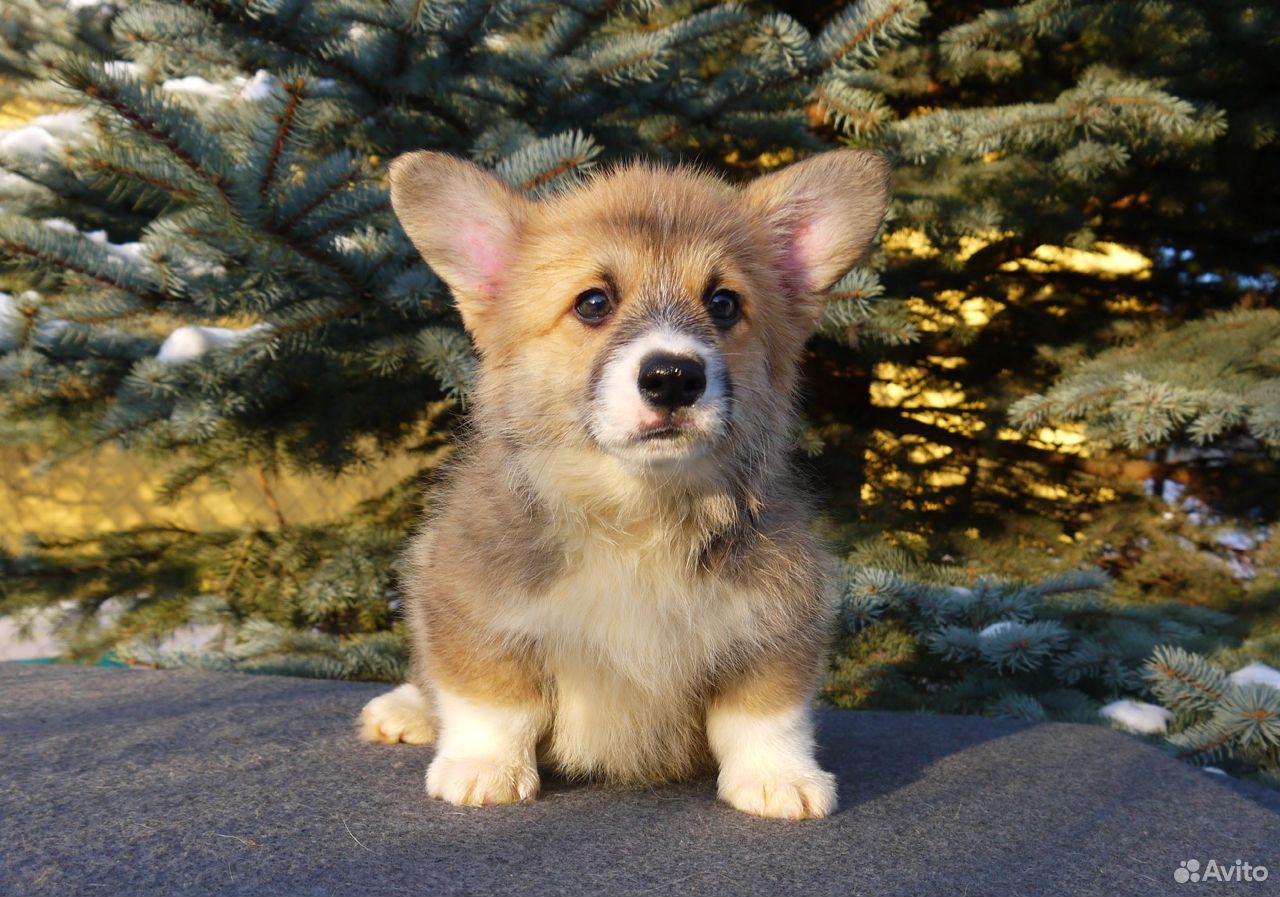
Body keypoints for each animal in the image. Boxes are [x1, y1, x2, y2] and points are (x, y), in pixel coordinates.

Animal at [355, 148, 885, 818]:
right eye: (592, 303)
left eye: (724, 304)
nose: (673, 378)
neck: (637, 513)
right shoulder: (468, 599)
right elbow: (493, 701)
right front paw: (484, 769)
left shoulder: (781, 617)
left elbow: (764, 714)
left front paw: (778, 778)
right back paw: (403, 710)